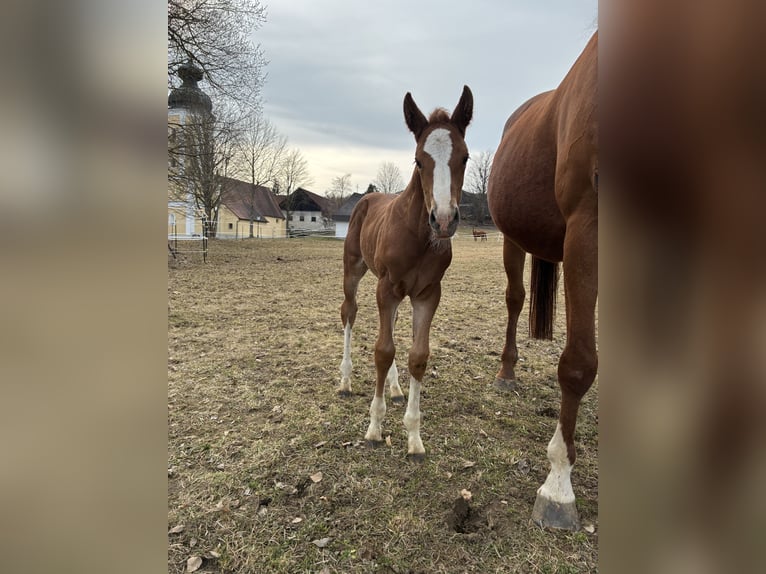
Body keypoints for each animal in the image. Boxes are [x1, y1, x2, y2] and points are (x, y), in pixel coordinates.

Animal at [338, 86, 473, 461]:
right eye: (418, 160)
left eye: (465, 158)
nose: (443, 220)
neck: (418, 238)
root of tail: (367, 198)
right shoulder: (387, 287)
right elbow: (383, 351)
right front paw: (374, 428)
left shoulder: (427, 293)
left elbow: (417, 355)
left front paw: (414, 438)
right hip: (354, 270)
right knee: (349, 312)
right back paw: (345, 381)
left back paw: (396, 389)